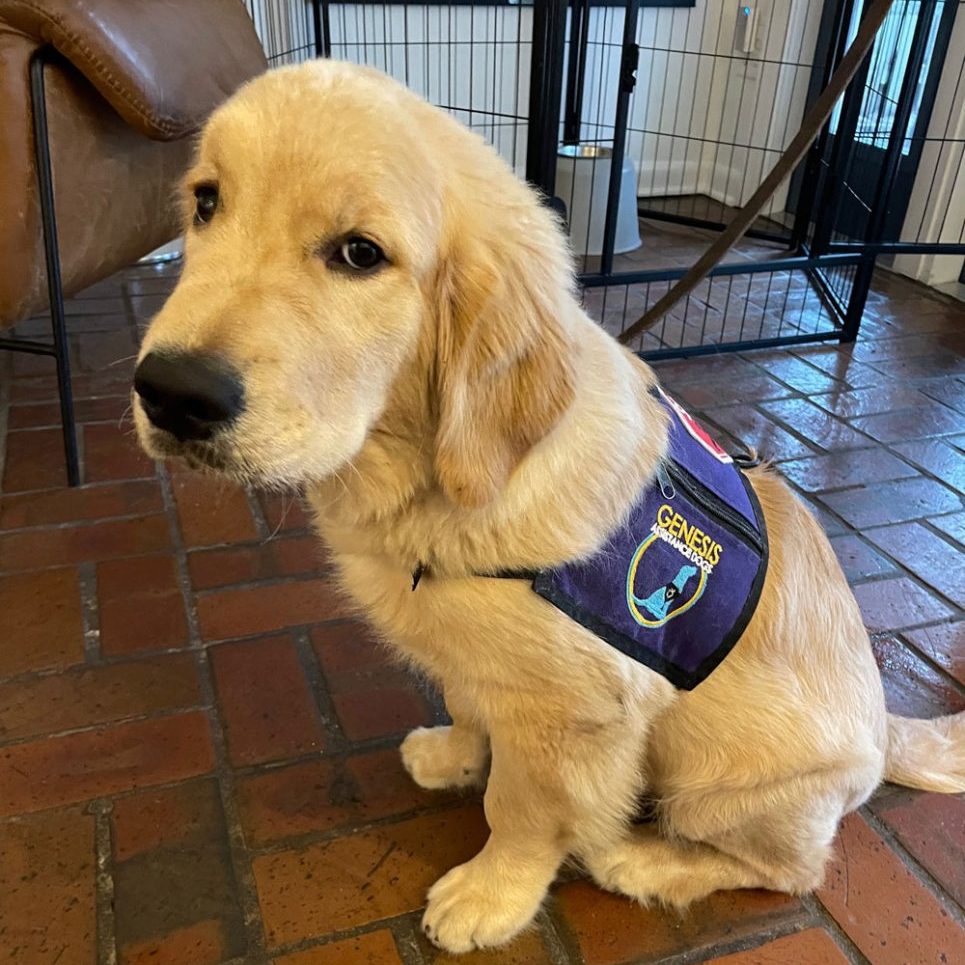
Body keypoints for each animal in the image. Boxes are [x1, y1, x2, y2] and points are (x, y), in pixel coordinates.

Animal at [132, 62, 960, 956]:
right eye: (206, 201)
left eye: (359, 253)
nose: (170, 393)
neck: (431, 482)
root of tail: (885, 730)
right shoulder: (480, 661)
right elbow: (467, 703)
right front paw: (455, 754)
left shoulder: (572, 715)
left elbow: (522, 809)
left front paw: (491, 893)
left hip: (727, 786)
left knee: (789, 870)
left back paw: (649, 860)